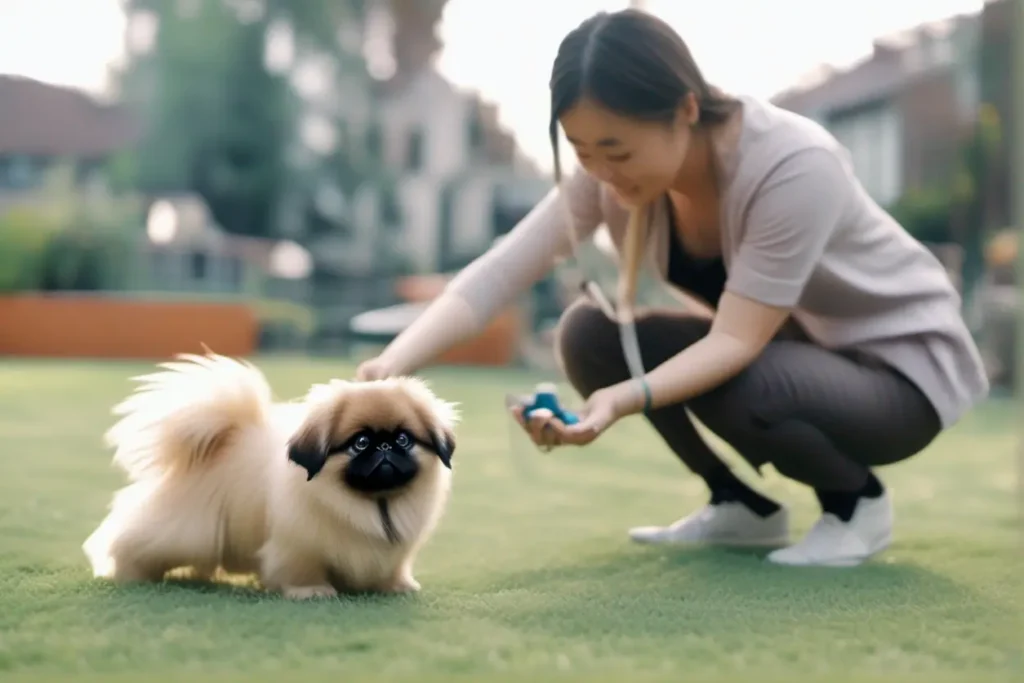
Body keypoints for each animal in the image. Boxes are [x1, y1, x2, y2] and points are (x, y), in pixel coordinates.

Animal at [81, 352, 458, 598]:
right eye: (360, 443)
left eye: (404, 439)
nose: (384, 449)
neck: (375, 504)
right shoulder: (298, 547)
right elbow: (300, 571)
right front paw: (312, 591)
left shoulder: (394, 553)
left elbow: (393, 569)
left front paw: (397, 586)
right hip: (185, 531)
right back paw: (128, 574)